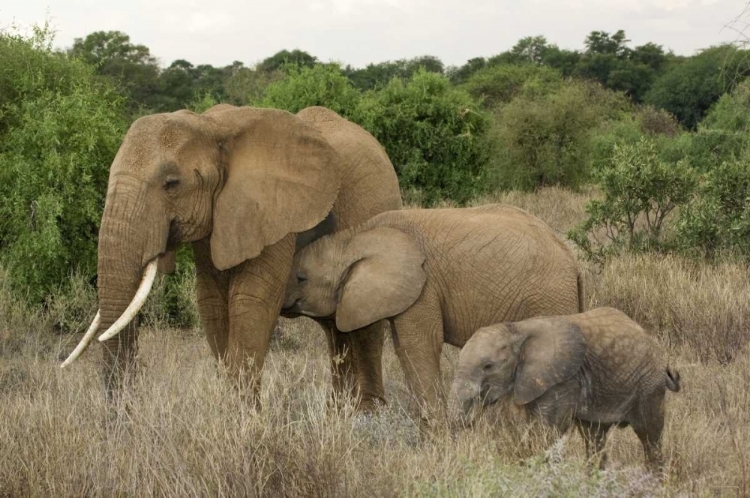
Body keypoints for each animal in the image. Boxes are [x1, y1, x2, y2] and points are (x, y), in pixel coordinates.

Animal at [63, 104, 406, 408]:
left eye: (171, 184)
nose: (123, 418)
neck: (211, 126)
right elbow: (213, 304)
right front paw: (233, 411)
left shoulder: (273, 212)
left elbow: (250, 301)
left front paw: (246, 419)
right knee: (335, 330)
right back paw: (339, 413)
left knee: (363, 324)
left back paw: (367, 414)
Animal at [284, 204, 584, 418]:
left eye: (301, 278)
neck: (355, 236)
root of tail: (572, 260)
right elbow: (404, 350)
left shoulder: (424, 286)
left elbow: (419, 346)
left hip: (549, 297)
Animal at [452, 308, 688, 470]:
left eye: (488, 366)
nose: (470, 421)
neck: (517, 329)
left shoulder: (563, 379)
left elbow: (547, 431)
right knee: (594, 437)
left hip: (649, 384)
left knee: (649, 436)